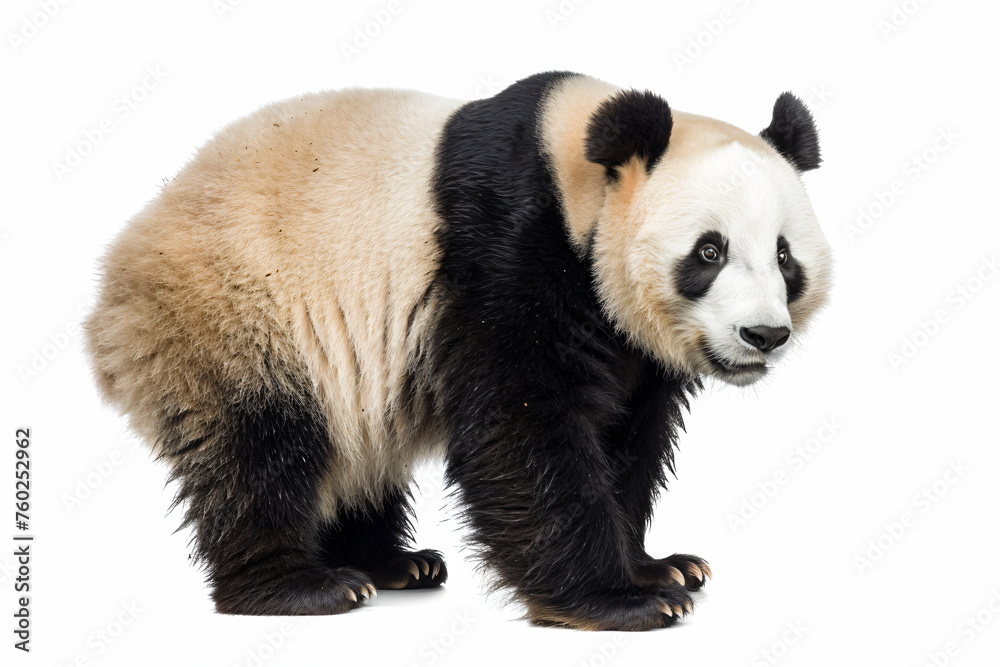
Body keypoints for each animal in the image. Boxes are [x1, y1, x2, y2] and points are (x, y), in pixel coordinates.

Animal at [85, 71, 832, 631]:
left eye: (784, 256)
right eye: (709, 251)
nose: (763, 335)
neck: (581, 179)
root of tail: (113, 287)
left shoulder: (627, 343)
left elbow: (624, 437)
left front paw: (658, 566)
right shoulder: (505, 249)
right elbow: (521, 425)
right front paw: (623, 600)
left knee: (352, 449)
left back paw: (390, 564)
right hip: (236, 310)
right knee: (261, 446)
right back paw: (301, 585)